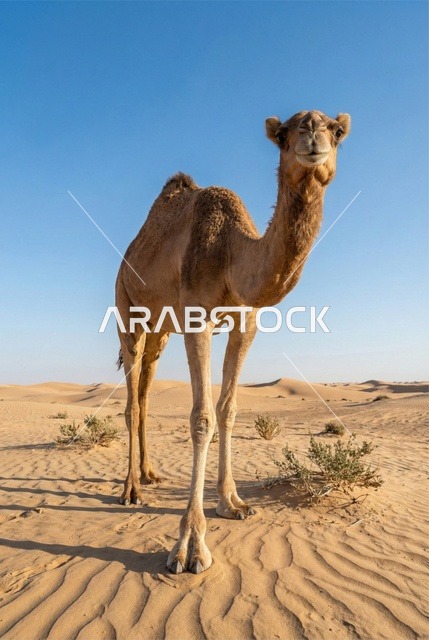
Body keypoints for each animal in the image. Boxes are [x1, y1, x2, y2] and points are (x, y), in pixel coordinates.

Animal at [115, 109, 351, 574]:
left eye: (336, 131)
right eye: (283, 134)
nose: (312, 135)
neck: (230, 252)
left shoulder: (247, 323)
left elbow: (228, 409)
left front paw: (232, 502)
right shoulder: (196, 317)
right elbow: (202, 417)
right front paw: (190, 545)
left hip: (160, 331)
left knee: (147, 389)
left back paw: (150, 474)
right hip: (126, 310)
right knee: (132, 397)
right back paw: (130, 489)